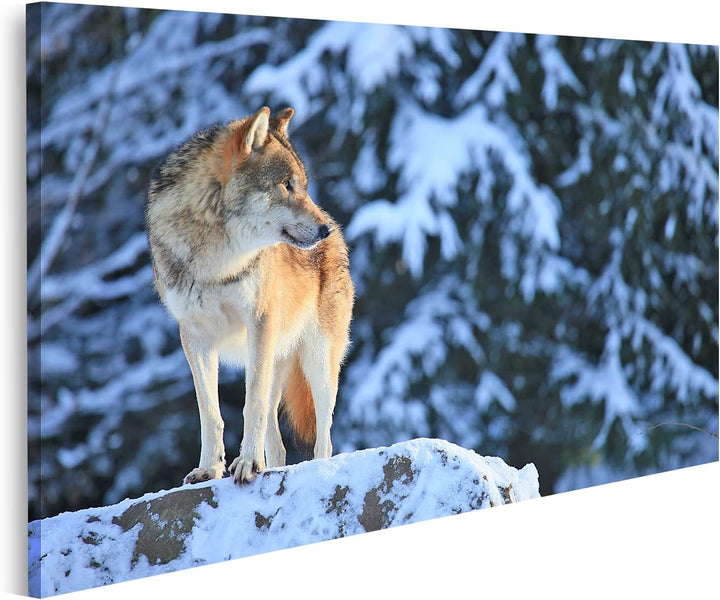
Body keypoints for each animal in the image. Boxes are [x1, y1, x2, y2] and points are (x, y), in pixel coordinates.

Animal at [145, 106, 354, 485]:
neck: (215, 262)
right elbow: (210, 412)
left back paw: (313, 467)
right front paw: (209, 468)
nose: (325, 230)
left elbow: (250, 403)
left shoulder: (260, 321)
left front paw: (248, 464)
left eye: (302, 185)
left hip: (317, 360)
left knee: (324, 436)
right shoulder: (193, 336)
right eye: (287, 185)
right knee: (278, 442)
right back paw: (271, 465)